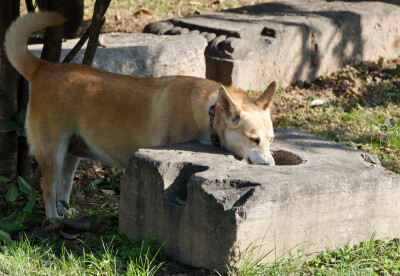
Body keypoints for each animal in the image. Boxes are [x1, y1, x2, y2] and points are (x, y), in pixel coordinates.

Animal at [4, 11, 276, 220]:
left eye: (271, 140)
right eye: (253, 139)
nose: (272, 166)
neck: (209, 111)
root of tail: (44, 67)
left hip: (71, 155)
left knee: (63, 188)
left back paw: (66, 213)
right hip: (53, 153)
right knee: (48, 189)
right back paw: (53, 219)